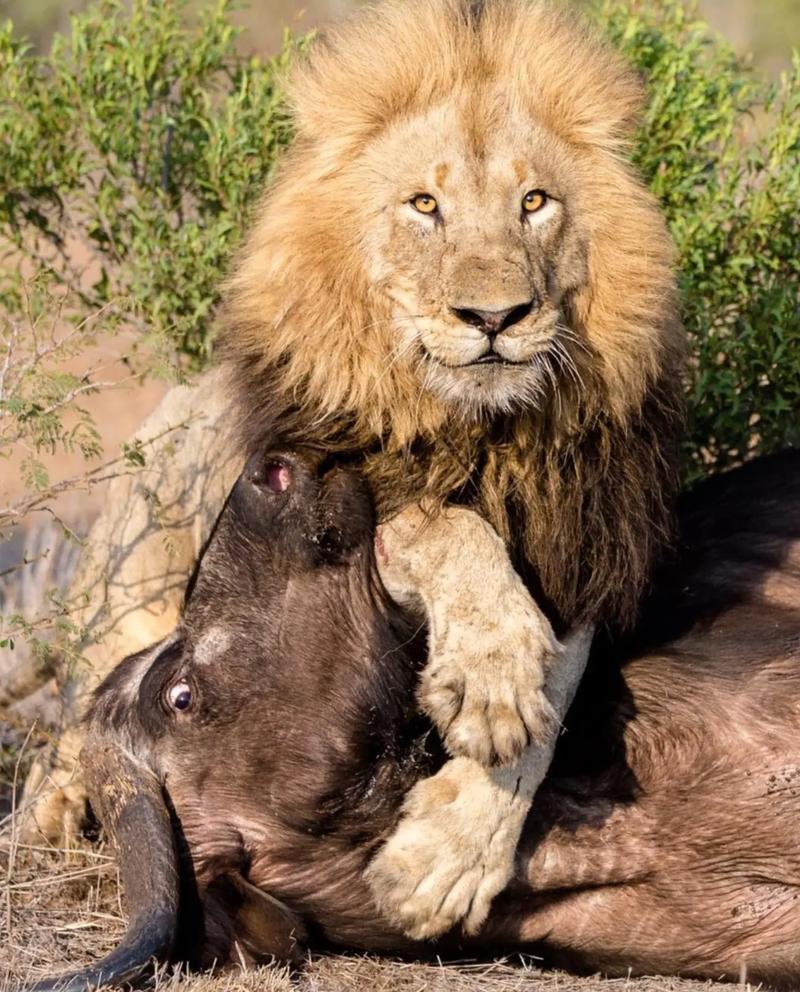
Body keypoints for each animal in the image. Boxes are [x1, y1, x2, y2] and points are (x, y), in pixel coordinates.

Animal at [25, 0, 684, 948]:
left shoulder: (576, 548)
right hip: (126, 590)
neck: (481, 431)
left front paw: (445, 856)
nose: (495, 317)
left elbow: (555, 693)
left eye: (534, 202)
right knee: (79, 713)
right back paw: (59, 807)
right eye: (424, 205)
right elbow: (444, 525)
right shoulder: (345, 492)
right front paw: (488, 672)